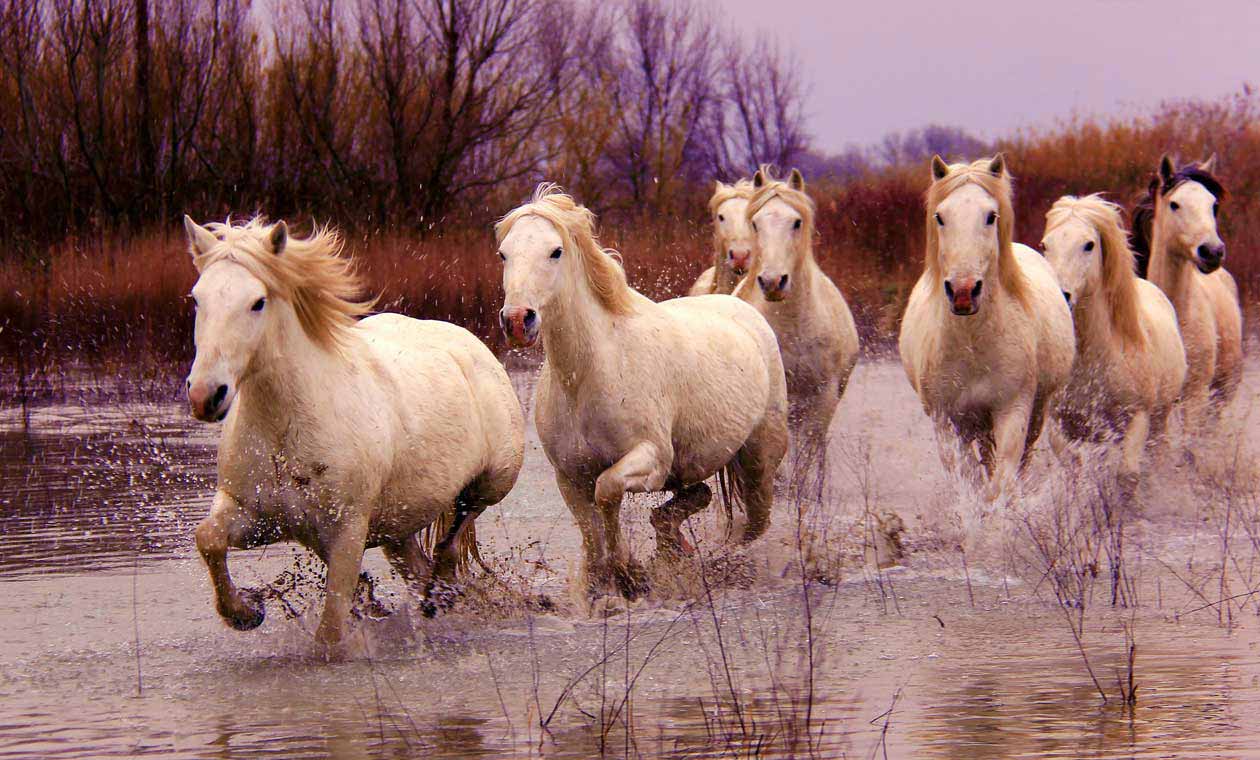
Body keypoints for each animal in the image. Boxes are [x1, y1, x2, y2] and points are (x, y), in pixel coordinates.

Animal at [183, 215, 525, 651]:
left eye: (257, 302)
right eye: (197, 299)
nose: (206, 395)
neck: (287, 429)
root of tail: (475, 348)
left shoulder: (347, 533)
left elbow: (330, 631)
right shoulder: (256, 515)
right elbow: (208, 537)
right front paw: (246, 611)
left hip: (489, 485)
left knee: (451, 542)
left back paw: (441, 597)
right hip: (398, 527)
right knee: (420, 570)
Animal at [496, 184, 788, 609]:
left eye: (555, 251)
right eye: (504, 253)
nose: (518, 320)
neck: (590, 373)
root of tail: (743, 308)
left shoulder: (649, 457)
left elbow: (607, 492)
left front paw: (629, 576)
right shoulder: (569, 477)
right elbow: (592, 533)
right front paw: (603, 584)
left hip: (759, 462)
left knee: (753, 524)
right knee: (695, 495)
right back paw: (675, 546)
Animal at [731, 166, 860, 465]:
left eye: (796, 223)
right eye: (755, 224)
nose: (772, 281)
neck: (792, 327)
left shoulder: (823, 397)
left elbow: (808, 458)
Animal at [898, 155, 1075, 498]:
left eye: (990, 216)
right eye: (940, 216)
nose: (964, 292)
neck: (972, 344)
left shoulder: (1013, 411)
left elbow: (1000, 482)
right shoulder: (948, 421)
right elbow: (970, 481)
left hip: (1035, 411)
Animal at [1041, 194, 1187, 495]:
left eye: (1089, 244)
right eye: (1045, 245)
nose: (1062, 295)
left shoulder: (1138, 418)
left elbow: (1127, 476)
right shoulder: (1060, 426)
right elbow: (1074, 466)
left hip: (1160, 416)